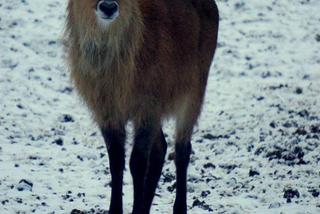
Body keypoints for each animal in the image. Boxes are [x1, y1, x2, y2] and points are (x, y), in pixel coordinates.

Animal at [66, 0, 219, 213]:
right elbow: (116, 161)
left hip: (195, 91)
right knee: (161, 148)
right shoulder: (107, 111)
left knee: (182, 150)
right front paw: (116, 210)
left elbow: (137, 163)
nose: (108, 6)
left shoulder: (148, 105)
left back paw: (179, 208)